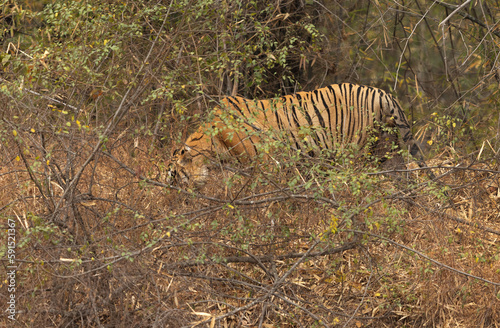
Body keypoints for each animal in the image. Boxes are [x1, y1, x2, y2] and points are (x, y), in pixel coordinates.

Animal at [170, 82, 428, 184]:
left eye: (175, 178)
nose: (179, 201)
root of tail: (383, 94)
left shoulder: (266, 163)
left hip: (358, 152)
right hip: (386, 150)